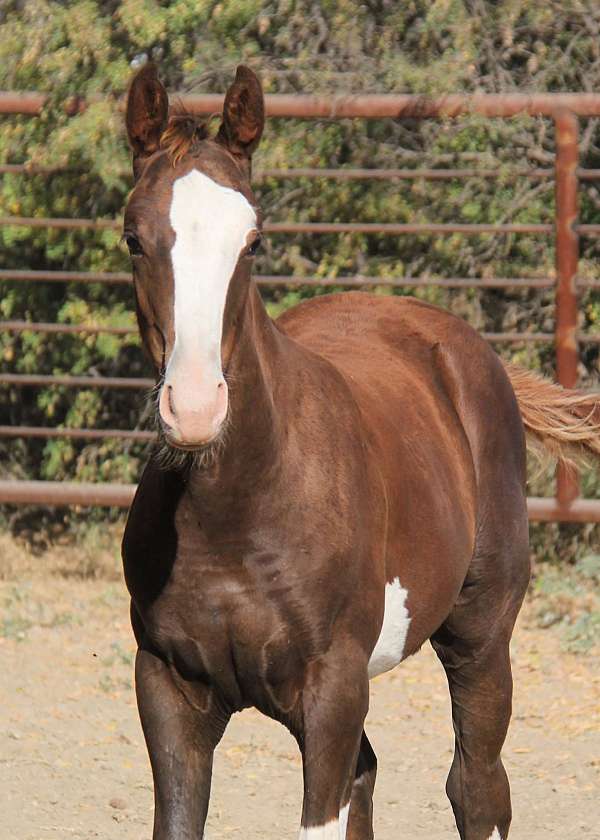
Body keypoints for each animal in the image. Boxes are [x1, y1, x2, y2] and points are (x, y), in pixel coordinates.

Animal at [121, 63, 600, 840]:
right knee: (372, 774)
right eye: (134, 237)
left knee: (478, 786)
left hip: (481, 634)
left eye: (253, 240)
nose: (194, 408)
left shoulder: (333, 688)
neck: (237, 510)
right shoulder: (167, 686)